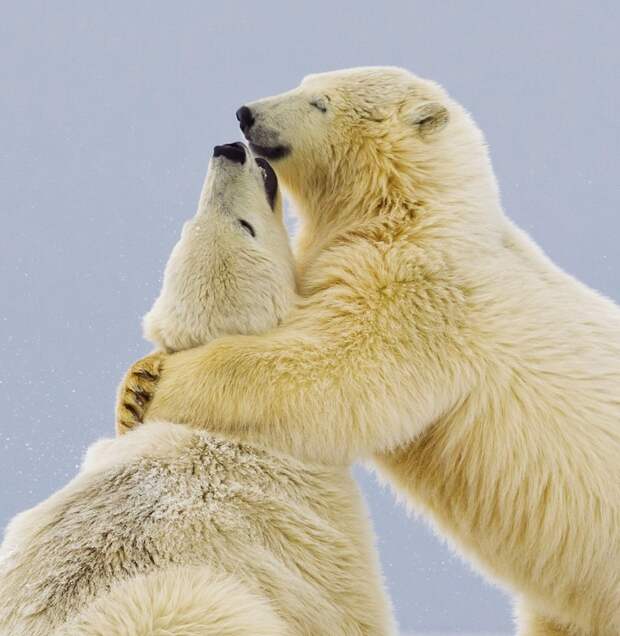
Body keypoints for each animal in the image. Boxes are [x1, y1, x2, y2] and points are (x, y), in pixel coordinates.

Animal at [116, 67, 620, 632]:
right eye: (304, 81)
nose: (245, 114)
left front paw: (163, 386)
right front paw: (134, 386)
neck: (415, 210)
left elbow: (337, 369)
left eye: (320, 102)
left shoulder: (422, 291)